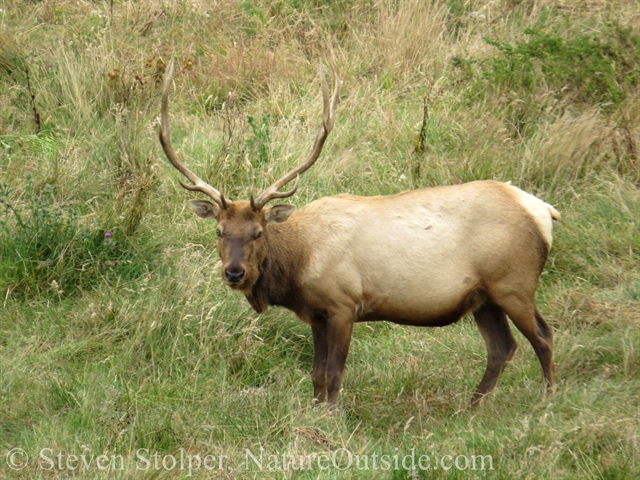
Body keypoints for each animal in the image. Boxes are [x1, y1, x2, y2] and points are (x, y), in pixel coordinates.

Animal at [160, 58, 560, 406]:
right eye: (219, 231)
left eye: (258, 232)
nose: (234, 273)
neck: (299, 262)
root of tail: (543, 210)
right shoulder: (316, 313)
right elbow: (316, 376)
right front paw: (316, 414)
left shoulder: (342, 304)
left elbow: (333, 374)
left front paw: (331, 421)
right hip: (483, 297)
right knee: (502, 347)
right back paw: (472, 407)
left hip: (514, 283)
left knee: (543, 336)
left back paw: (547, 401)